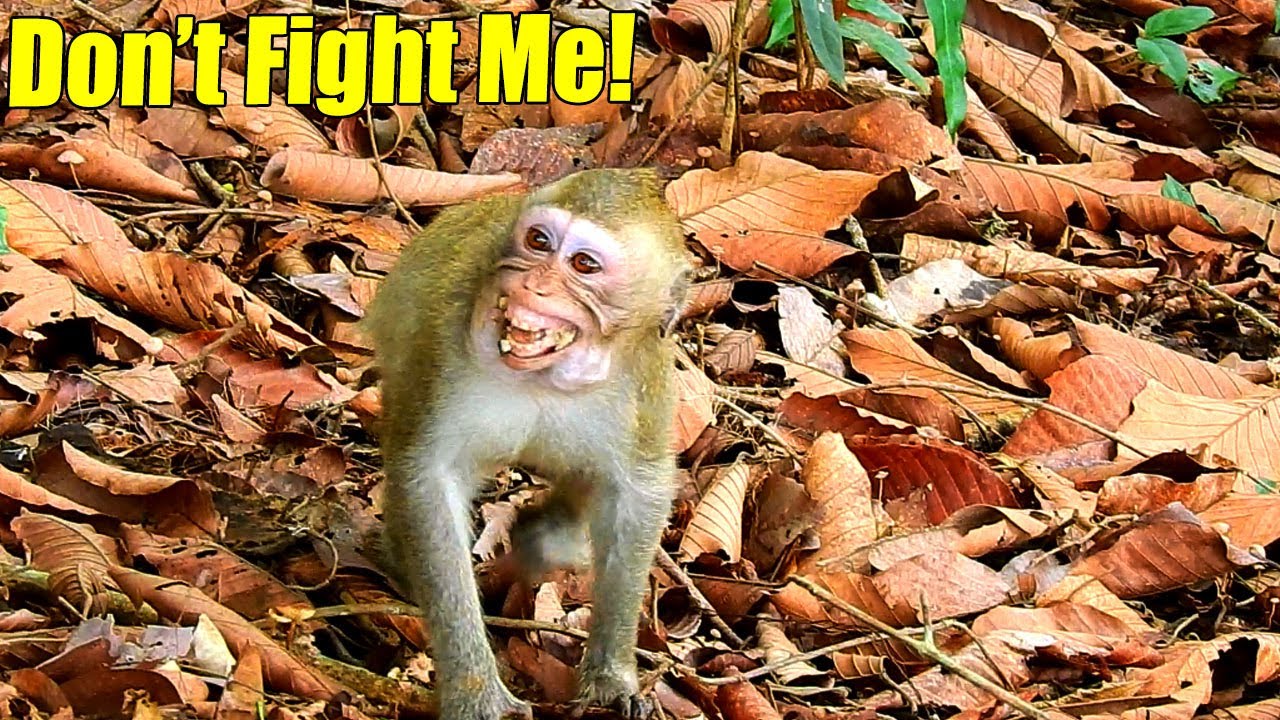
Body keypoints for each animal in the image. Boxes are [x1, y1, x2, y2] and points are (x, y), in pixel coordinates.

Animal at [365, 169, 691, 720]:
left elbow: (636, 494)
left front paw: (610, 674)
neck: (546, 378)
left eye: (584, 265)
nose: (533, 285)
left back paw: (548, 531)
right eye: (538, 241)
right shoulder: (441, 341)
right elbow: (429, 479)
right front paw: (475, 692)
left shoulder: (647, 381)